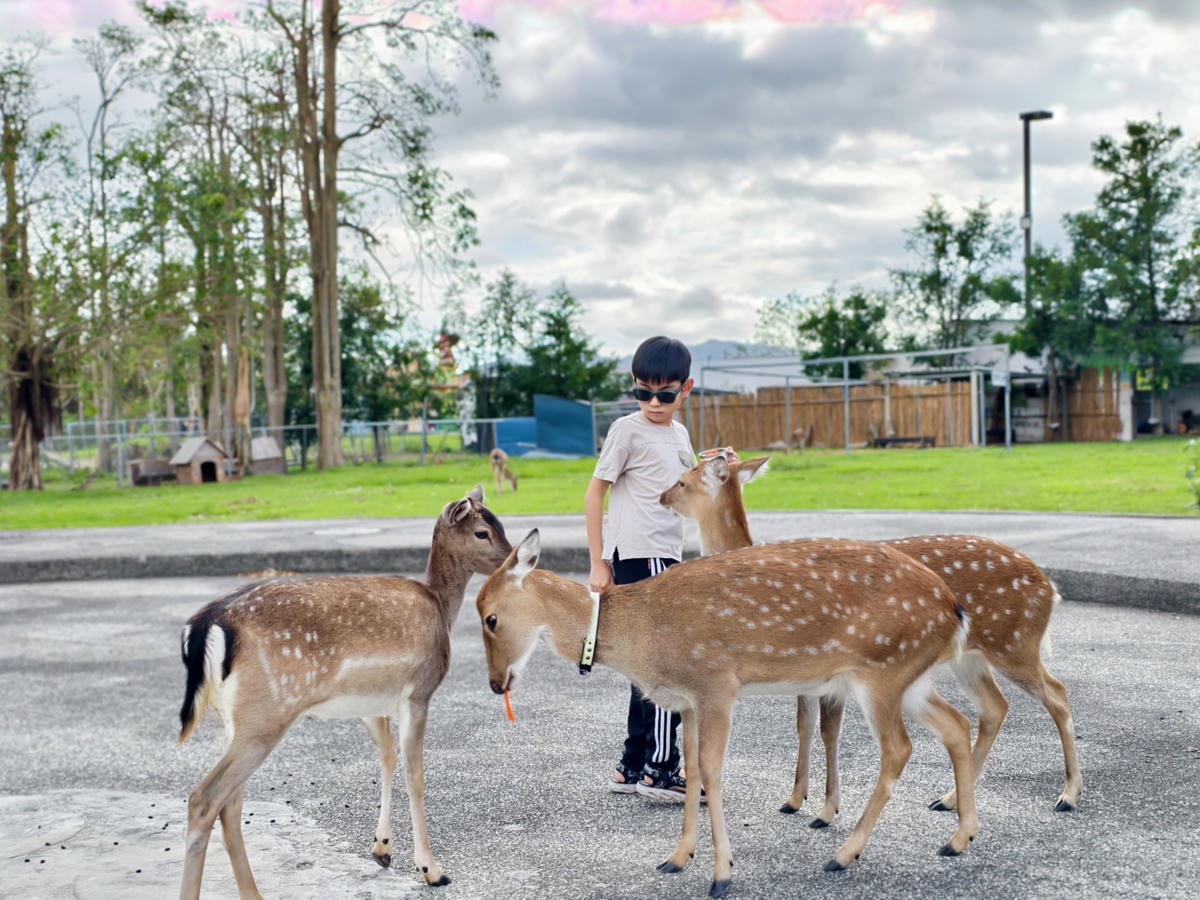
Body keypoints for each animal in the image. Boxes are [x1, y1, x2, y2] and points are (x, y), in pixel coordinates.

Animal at [176, 486, 512, 900]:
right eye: (483, 532)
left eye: (501, 524)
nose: (512, 561)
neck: (439, 605)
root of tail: (206, 624)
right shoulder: (418, 691)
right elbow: (415, 774)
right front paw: (432, 870)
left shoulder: (372, 704)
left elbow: (387, 758)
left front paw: (382, 849)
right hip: (265, 712)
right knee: (204, 798)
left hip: (234, 718)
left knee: (231, 804)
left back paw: (254, 893)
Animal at [477, 528, 979, 898]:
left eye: (491, 618)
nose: (496, 683)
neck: (643, 636)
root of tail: (954, 609)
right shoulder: (689, 701)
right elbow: (695, 771)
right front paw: (678, 858)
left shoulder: (717, 683)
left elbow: (714, 773)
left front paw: (722, 874)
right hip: (909, 678)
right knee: (957, 724)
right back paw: (958, 839)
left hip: (882, 670)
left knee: (899, 748)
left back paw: (844, 854)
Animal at [660, 451, 1082, 826]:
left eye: (682, 481)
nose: (662, 497)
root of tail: (1050, 588)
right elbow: (804, 725)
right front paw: (795, 799)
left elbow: (828, 730)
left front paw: (826, 811)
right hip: (972, 657)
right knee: (995, 707)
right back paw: (948, 799)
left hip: (1015, 642)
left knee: (1057, 694)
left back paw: (1068, 795)